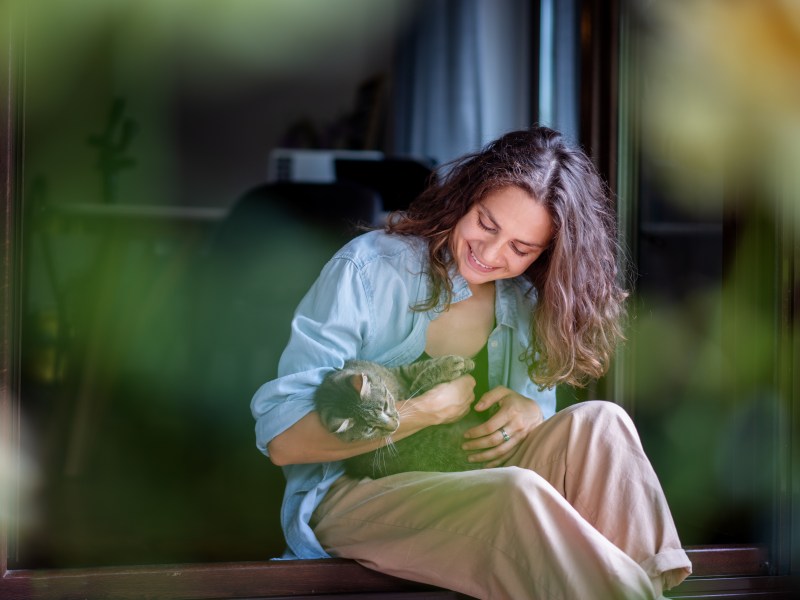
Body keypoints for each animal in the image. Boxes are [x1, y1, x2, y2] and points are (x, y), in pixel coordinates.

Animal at [314, 356, 488, 478]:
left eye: (385, 406)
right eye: (370, 430)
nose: (394, 426)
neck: (392, 385)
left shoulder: (398, 371)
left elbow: (417, 366)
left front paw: (461, 363)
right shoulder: (412, 397)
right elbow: (423, 382)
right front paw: (447, 368)